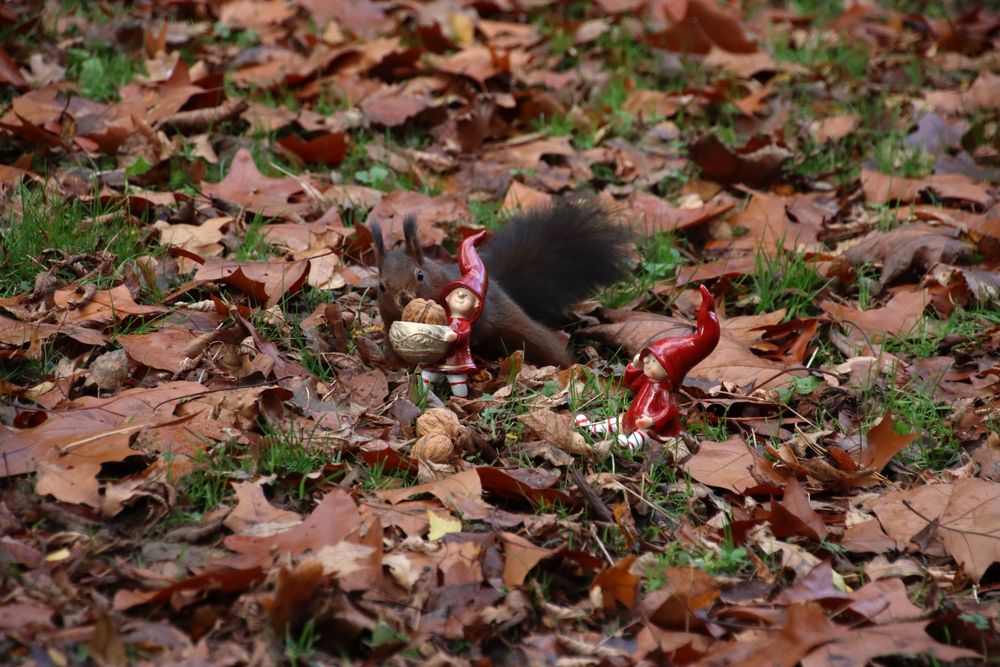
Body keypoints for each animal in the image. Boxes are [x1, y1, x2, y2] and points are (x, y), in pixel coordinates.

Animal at [372, 201, 628, 368]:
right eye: (382, 286)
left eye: (420, 275)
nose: (405, 298)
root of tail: (496, 283)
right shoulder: (388, 321)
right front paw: (391, 363)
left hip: (519, 326)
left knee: (547, 345)